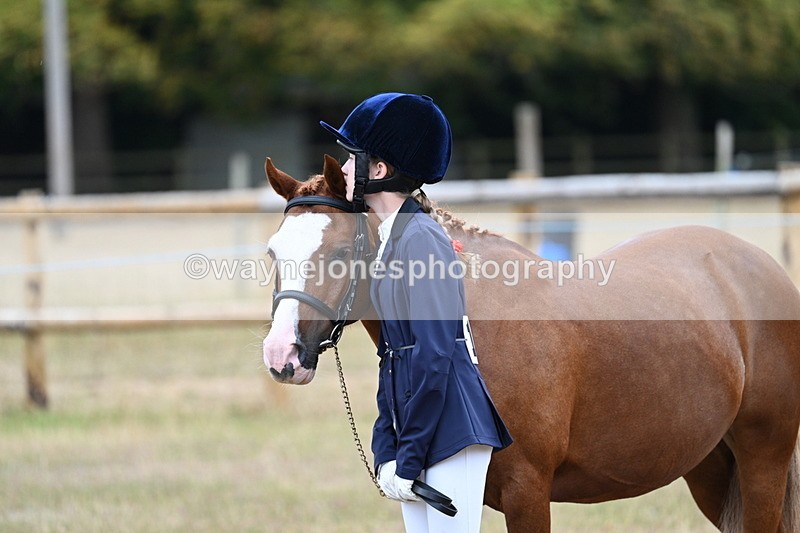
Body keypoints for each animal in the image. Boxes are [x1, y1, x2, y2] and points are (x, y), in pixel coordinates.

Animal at [262, 154, 800, 532]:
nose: (281, 356)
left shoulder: (528, 491)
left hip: (763, 461)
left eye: (338, 251)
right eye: (272, 252)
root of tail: (760, 264)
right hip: (711, 469)